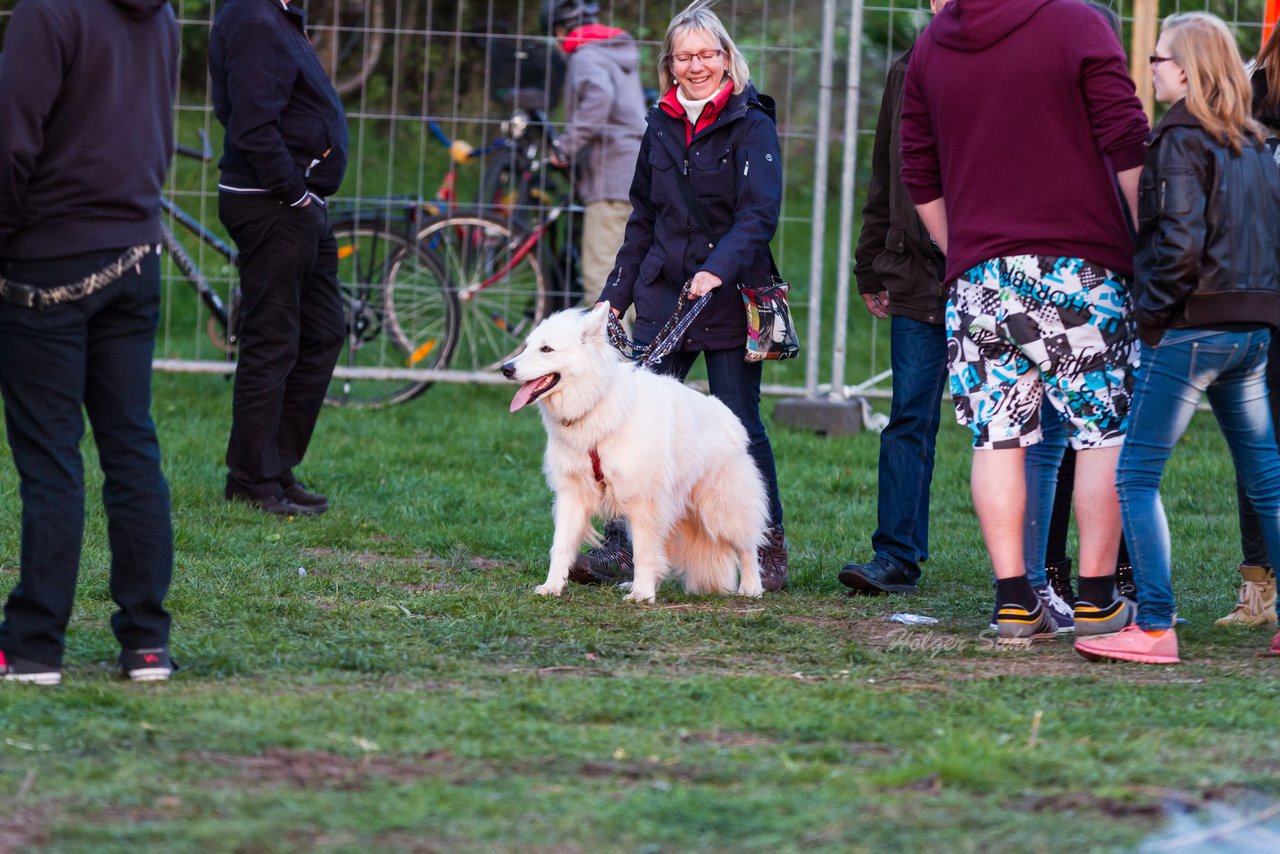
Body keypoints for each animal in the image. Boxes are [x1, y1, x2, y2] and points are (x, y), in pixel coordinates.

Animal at [501, 303, 762, 604]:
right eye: (526, 346)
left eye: (546, 349)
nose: (505, 369)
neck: (597, 404)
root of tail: (729, 417)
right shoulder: (572, 493)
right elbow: (561, 546)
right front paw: (552, 586)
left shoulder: (643, 500)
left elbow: (644, 553)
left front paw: (642, 594)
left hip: (722, 507)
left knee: (747, 546)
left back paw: (752, 587)